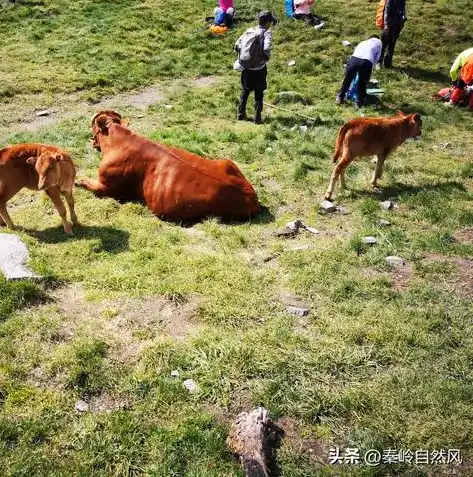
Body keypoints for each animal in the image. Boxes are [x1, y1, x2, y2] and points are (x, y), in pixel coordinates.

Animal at [78, 110, 262, 220]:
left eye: (92, 126)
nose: (90, 141)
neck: (119, 141)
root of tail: (251, 197)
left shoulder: (108, 188)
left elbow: (87, 183)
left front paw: (79, 181)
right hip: (227, 162)